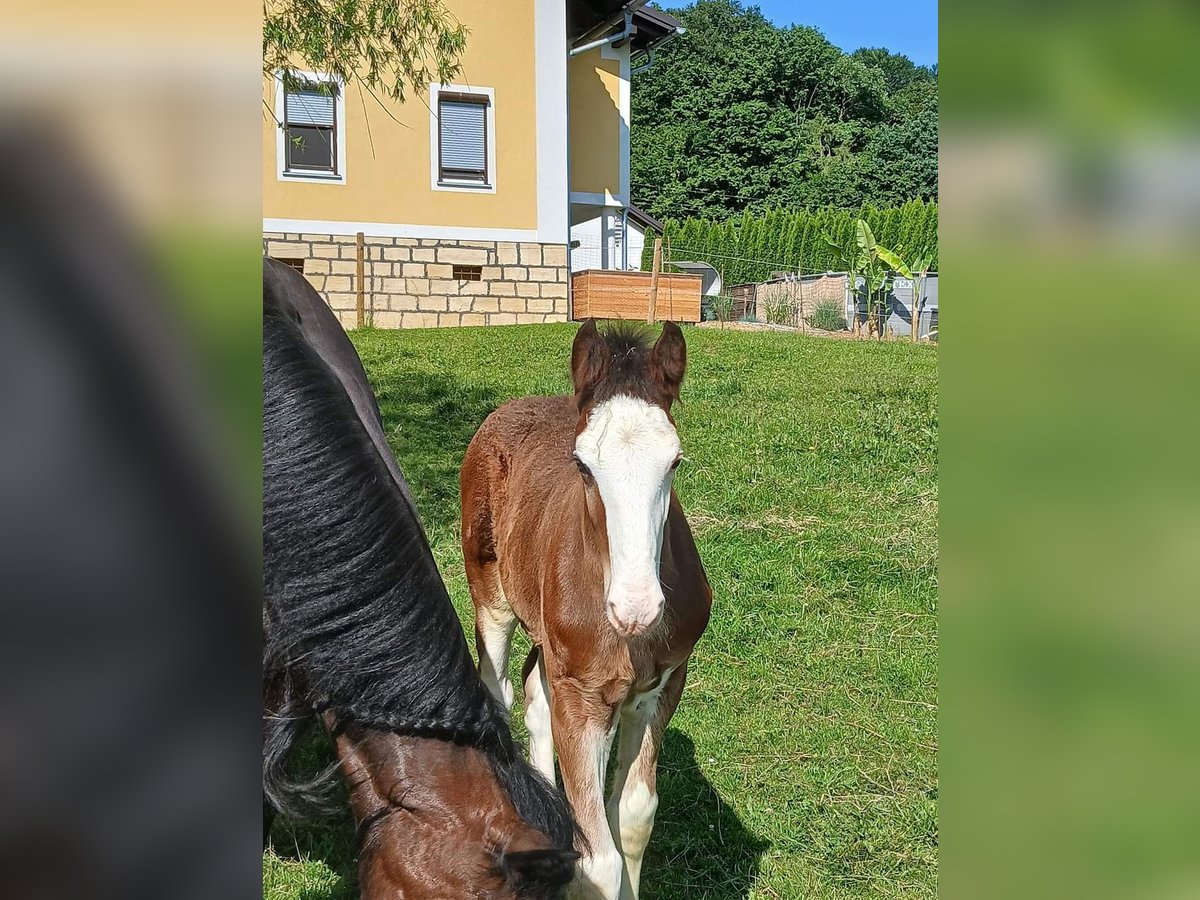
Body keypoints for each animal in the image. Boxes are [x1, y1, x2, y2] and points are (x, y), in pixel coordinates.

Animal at [458, 321, 710, 897]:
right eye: (582, 465)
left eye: (675, 461)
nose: (636, 606)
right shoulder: (582, 694)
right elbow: (598, 861)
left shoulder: (661, 686)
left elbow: (634, 816)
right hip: (492, 598)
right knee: (501, 688)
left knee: (535, 689)